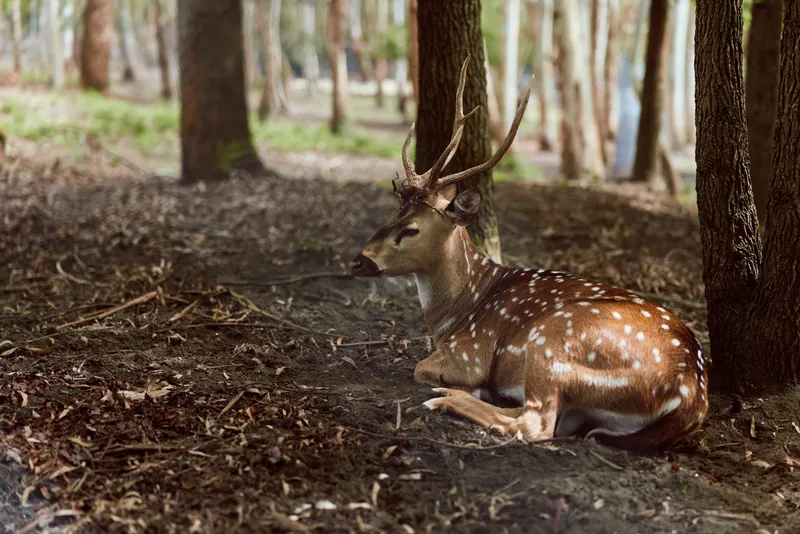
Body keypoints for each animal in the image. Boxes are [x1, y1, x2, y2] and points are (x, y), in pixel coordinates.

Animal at [348, 56, 708, 452]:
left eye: (411, 229)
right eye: (392, 213)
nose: (358, 260)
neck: (456, 314)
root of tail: (688, 395)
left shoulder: (471, 351)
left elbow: (420, 368)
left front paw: (460, 386)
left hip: (550, 343)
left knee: (535, 424)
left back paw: (446, 398)